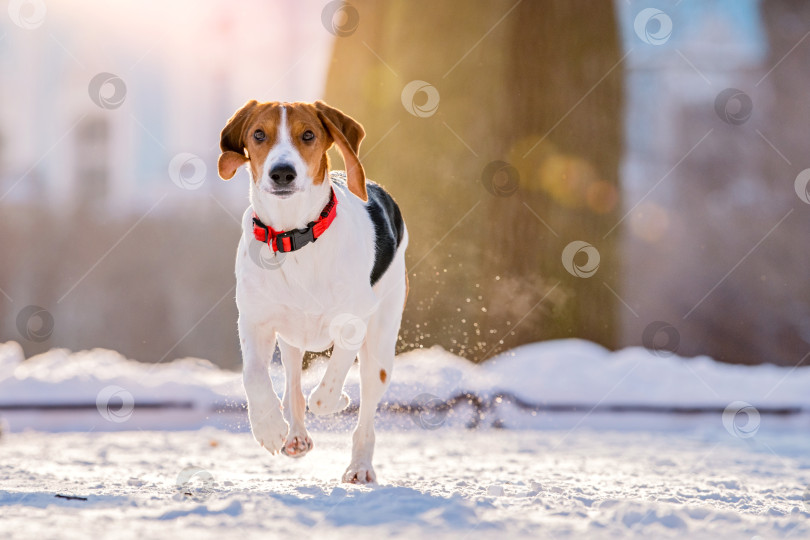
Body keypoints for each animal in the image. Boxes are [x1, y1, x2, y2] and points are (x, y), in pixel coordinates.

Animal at [216, 101, 408, 486]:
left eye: (308, 135)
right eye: (258, 134)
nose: (282, 173)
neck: (293, 237)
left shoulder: (353, 324)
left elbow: (327, 391)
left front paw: (338, 399)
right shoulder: (255, 321)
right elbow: (254, 377)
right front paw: (269, 428)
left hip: (380, 346)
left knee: (365, 410)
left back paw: (359, 465)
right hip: (291, 340)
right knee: (292, 385)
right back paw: (296, 436)